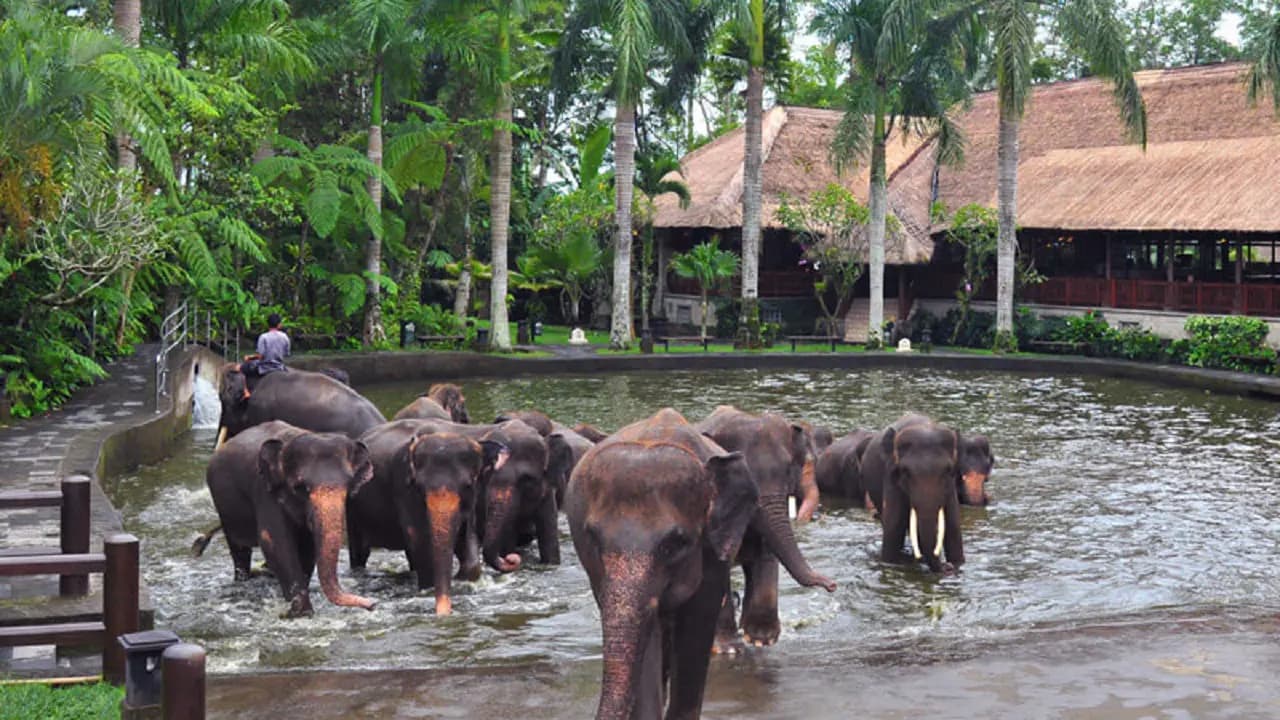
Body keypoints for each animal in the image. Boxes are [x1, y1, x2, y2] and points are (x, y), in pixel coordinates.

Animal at [194, 421, 376, 618]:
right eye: (300, 487)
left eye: (348, 487)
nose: (372, 604)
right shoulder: (265, 491)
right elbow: (276, 543)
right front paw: (300, 613)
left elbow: (306, 549)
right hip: (224, 507)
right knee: (240, 552)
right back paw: (243, 581)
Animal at [348, 420, 509, 615]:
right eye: (418, 487)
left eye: (468, 486)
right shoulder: (402, 488)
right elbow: (420, 539)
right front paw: (430, 589)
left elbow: (467, 537)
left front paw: (462, 579)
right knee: (360, 551)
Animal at [694, 406, 830, 649]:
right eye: (745, 471)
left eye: (788, 469)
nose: (832, 585)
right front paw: (726, 647)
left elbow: (766, 555)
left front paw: (760, 639)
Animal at [858, 414, 965, 574]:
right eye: (905, 471)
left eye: (948, 470)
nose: (947, 566)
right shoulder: (891, 476)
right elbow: (894, 526)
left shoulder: (950, 486)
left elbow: (953, 526)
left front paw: (956, 563)